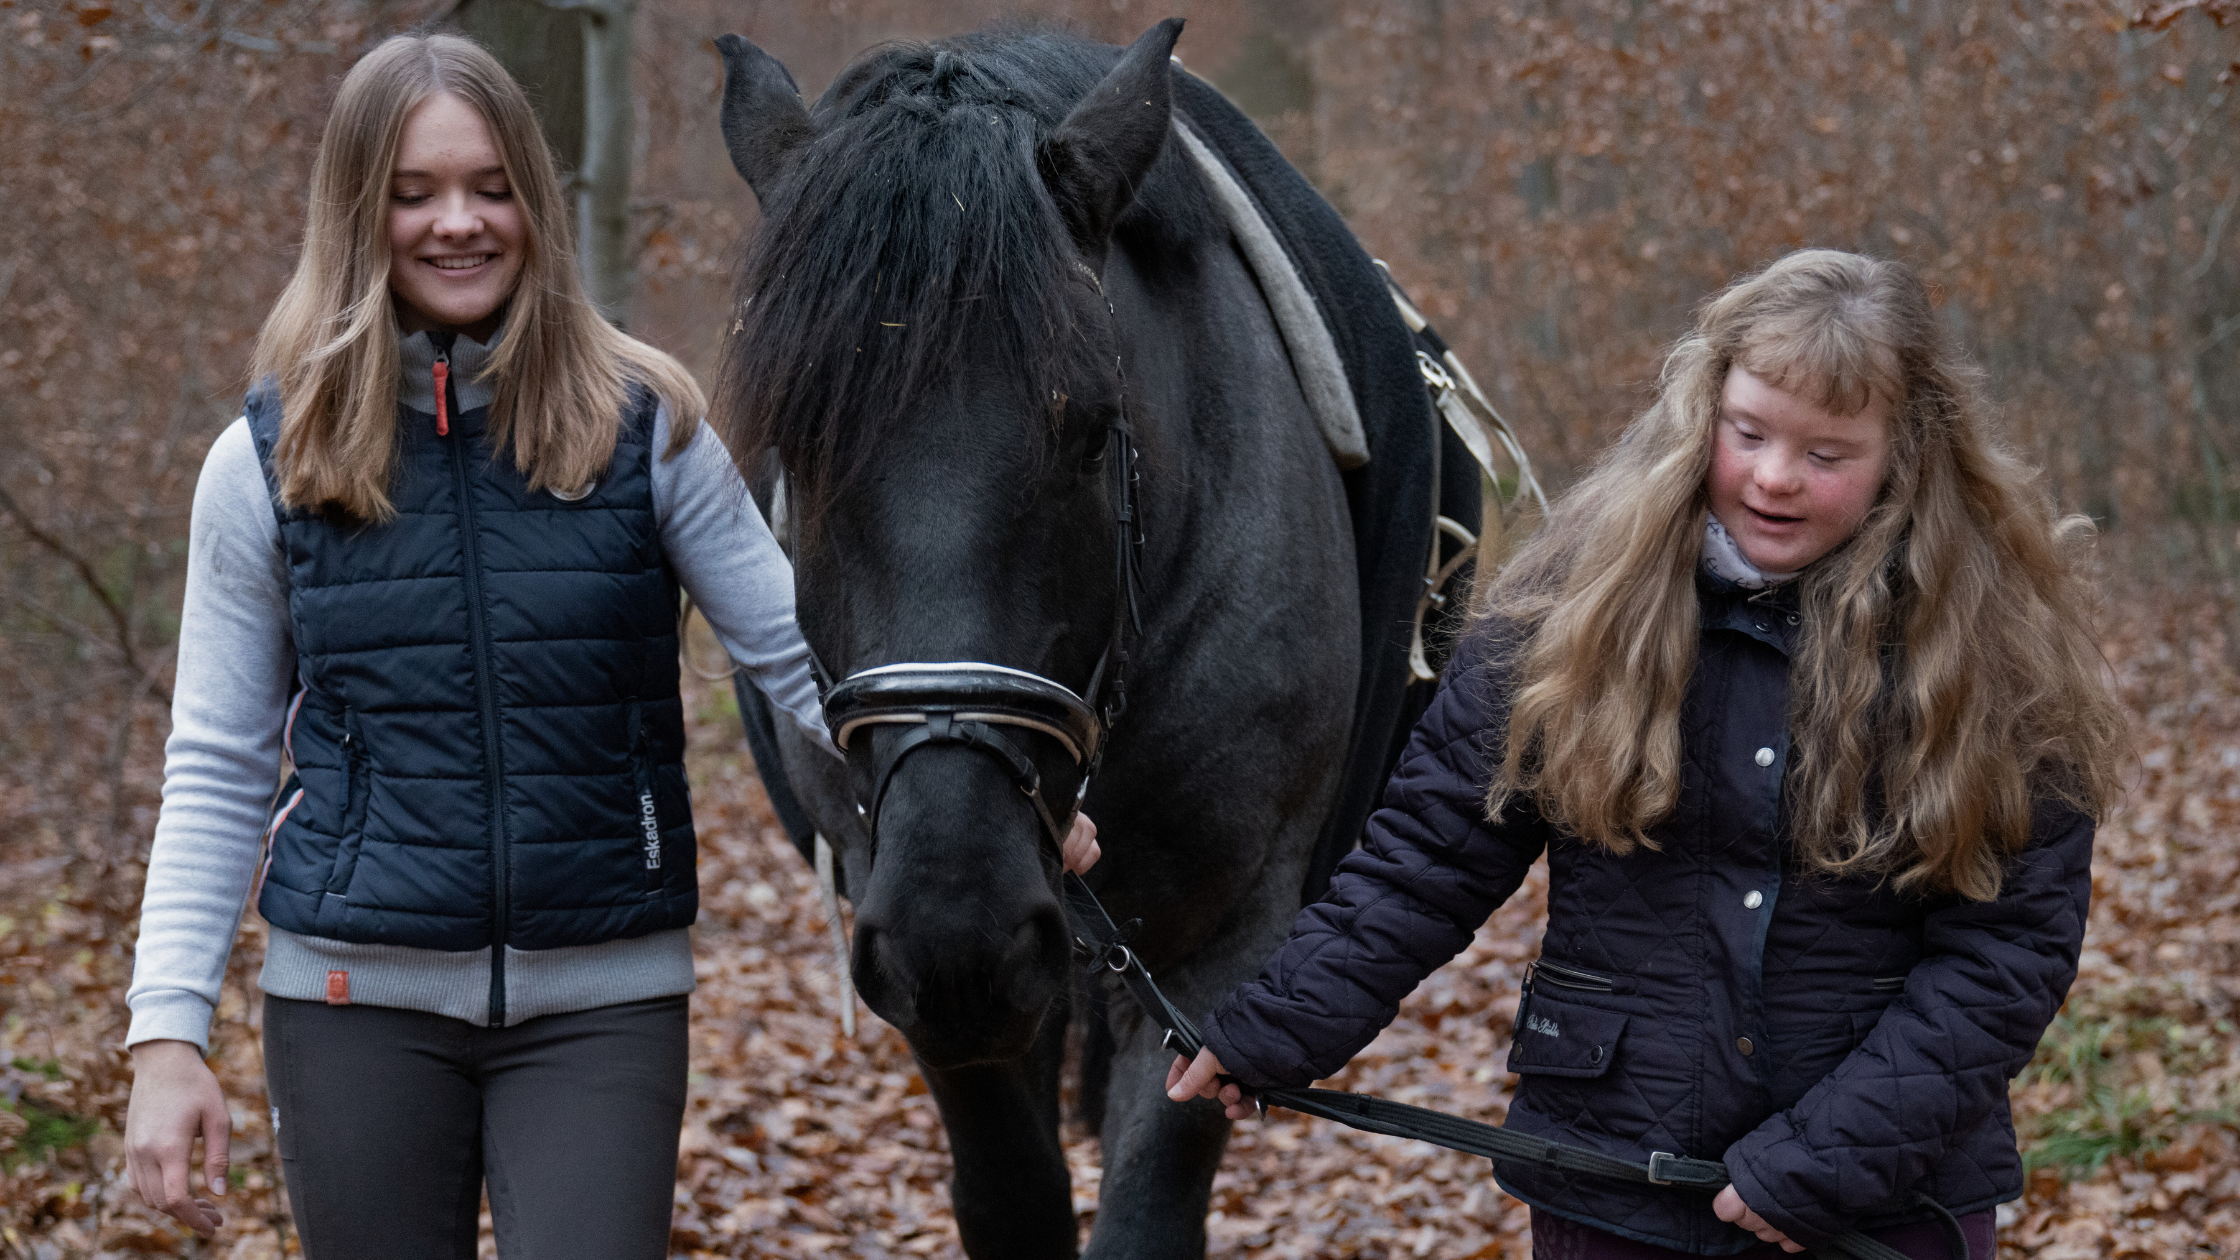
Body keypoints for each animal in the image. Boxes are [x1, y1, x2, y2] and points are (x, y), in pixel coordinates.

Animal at [710, 20, 1470, 1258]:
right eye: (797, 442)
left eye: (1094, 431)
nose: (957, 920)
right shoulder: (915, 947)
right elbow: (1010, 1194)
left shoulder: (1216, 953)